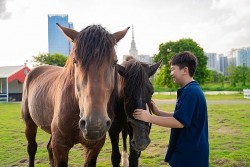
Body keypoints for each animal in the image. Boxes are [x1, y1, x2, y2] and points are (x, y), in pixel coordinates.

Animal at [21, 23, 129, 167]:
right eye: (75, 61)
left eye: (115, 62)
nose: (95, 124)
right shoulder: (60, 145)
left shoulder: (94, 146)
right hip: (29, 123)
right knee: (32, 148)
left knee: (48, 148)